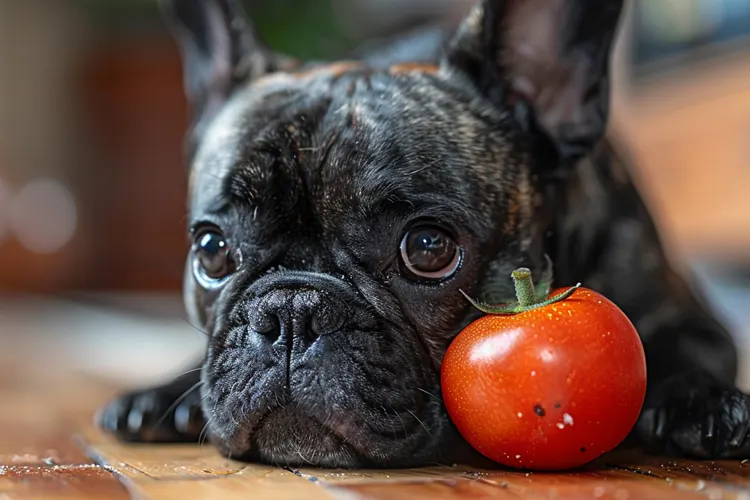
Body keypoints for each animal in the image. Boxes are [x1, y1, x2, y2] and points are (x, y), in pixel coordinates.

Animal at [97, 0, 750, 468]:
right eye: (211, 250)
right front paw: (164, 393)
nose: (292, 311)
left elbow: (684, 352)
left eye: (428, 248)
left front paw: (705, 403)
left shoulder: (690, 318)